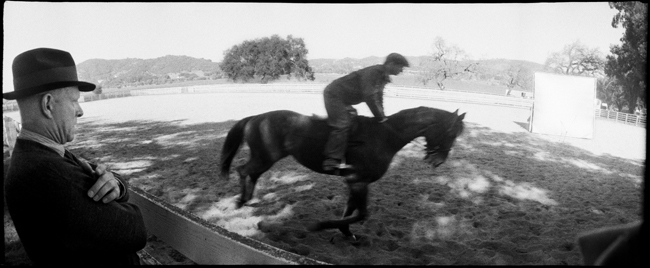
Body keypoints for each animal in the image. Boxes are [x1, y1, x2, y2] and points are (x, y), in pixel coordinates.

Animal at [220, 105, 464, 238]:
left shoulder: (356, 183)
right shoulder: (358, 181)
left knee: (251, 173)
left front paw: (346, 232)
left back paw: (246, 199)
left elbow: (350, 210)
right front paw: (320, 225)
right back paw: (240, 201)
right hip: (265, 157)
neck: (385, 137)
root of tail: (256, 117)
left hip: (265, 158)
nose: (439, 161)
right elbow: (361, 213)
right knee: (243, 170)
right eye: (452, 133)